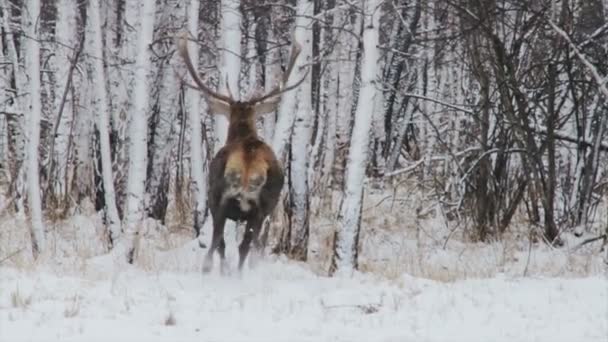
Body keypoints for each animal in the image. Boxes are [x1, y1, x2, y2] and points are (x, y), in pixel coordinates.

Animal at [178, 32, 306, 272]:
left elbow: (220, 244)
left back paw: (211, 269)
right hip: (262, 208)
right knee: (248, 247)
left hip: (220, 199)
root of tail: (248, 166)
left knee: (218, 242)